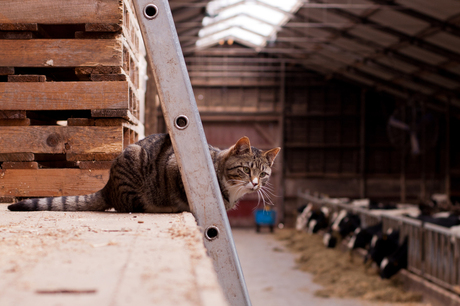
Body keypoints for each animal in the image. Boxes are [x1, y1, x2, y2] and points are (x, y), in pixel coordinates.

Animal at [8, 133, 280, 214]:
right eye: (246, 169)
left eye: (264, 174)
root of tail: (108, 186)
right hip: (134, 165)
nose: (256, 184)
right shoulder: (174, 167)